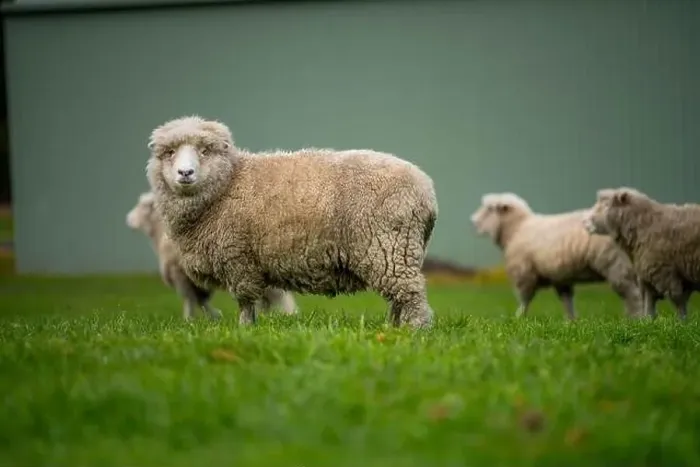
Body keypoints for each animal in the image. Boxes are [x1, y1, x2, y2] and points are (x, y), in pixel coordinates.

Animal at [126, 190, 299, 320]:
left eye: (143, 207)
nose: (128, 220)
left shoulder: (180, 276)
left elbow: (191, 299)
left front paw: (189, 319)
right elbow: (199, 300)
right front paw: (213, 317)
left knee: (279, 296)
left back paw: (289, 314)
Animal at [145, 115, 438, 328]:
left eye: (205, 150)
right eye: (169, 152)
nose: (185, 173)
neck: (228, 183)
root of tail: (426, 189)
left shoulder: (238, 257)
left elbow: (245, 300)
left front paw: (244, 329)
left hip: (389, 246)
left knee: (410, 293)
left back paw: (414, 329)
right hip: (397, 251)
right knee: (398, 296)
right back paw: (394, 327)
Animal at [470, 192, 643, 320]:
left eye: (489, 209)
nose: (473, 221)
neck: (517, 228)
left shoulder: (525, 273)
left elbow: (525, 299)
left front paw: (519, 318)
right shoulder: (560, 277)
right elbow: (567, 301)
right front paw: (571, 322)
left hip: (615, 264)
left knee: (632, 295)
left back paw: (635, 320)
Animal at [582, 186, 700, 321]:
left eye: (606, 205)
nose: (584, 221)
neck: (645, 225)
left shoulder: (666, 274)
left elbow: (678, 302)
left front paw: (682, 321)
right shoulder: (648, 274)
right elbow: (649, 301)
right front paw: (648, 321)